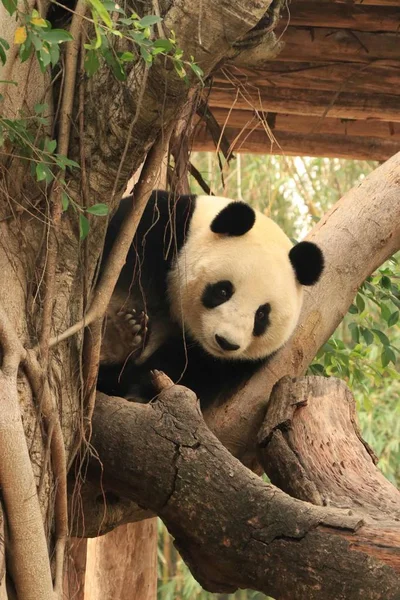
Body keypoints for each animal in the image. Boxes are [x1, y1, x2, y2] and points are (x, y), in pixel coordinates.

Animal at [97, 190, 324, 410]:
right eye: (223, 291)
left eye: (261, 314)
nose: (226, 342)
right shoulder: (158, 227)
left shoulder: (236, 362)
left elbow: (194, 370)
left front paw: (142, 390)